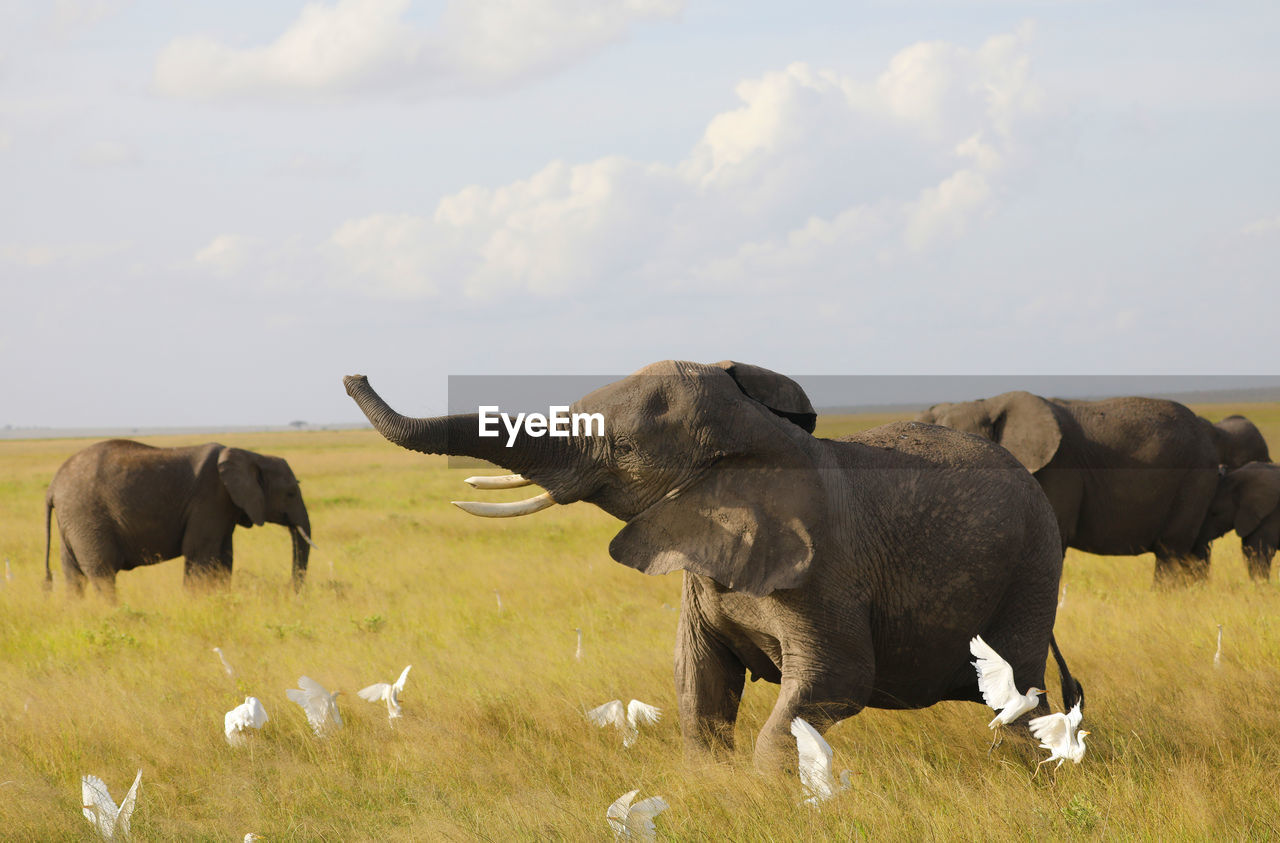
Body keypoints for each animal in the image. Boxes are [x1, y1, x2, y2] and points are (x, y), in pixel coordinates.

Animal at [46, 437, 316, 596]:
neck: (252, 455)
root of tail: (53, 486)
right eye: (291, 493)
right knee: (102, 573)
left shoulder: (224, 506)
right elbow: (200, 554)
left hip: (72, 520)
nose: (291, 592)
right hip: (86, 515)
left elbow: (224, 557)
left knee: (73, 576)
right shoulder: (210, 498)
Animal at [343, 360, 1080, 767]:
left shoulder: (827, 567)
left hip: (1035, 560)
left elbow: (837, 679)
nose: (354, 375)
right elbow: (698, 680)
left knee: (1018, 690)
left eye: (626, 448)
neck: (758, 439)